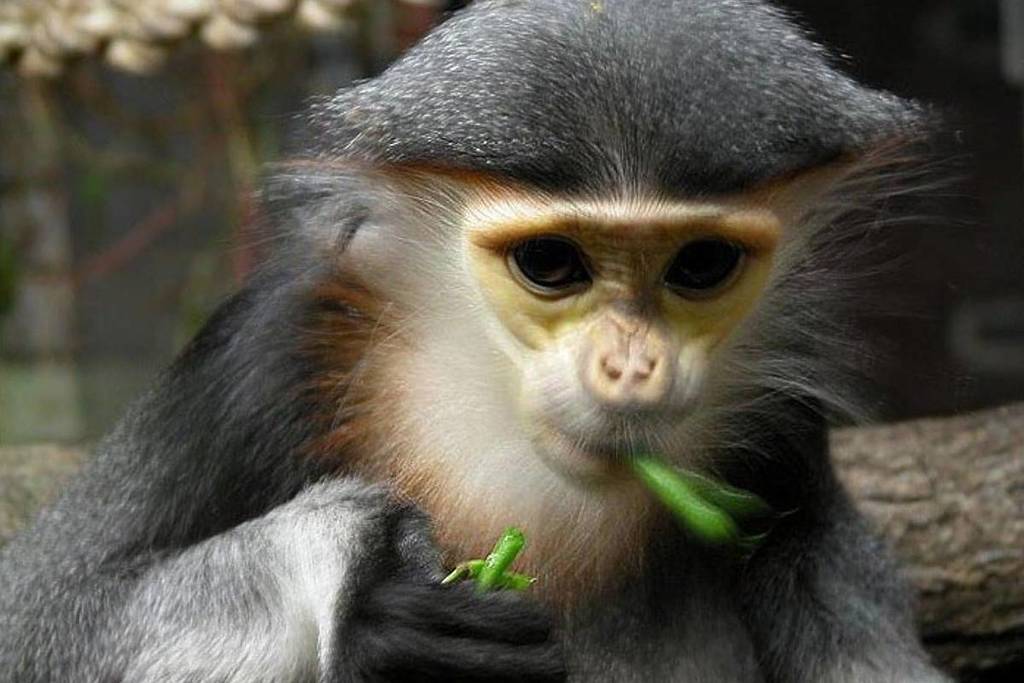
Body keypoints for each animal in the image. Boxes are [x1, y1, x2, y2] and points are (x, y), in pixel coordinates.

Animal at [0, 1, 951, 681]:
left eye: (701, 264)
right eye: (551, 262)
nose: (631, 364)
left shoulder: (784, 433)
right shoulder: (270, 351)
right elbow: (47, 623)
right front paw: (377, 600)